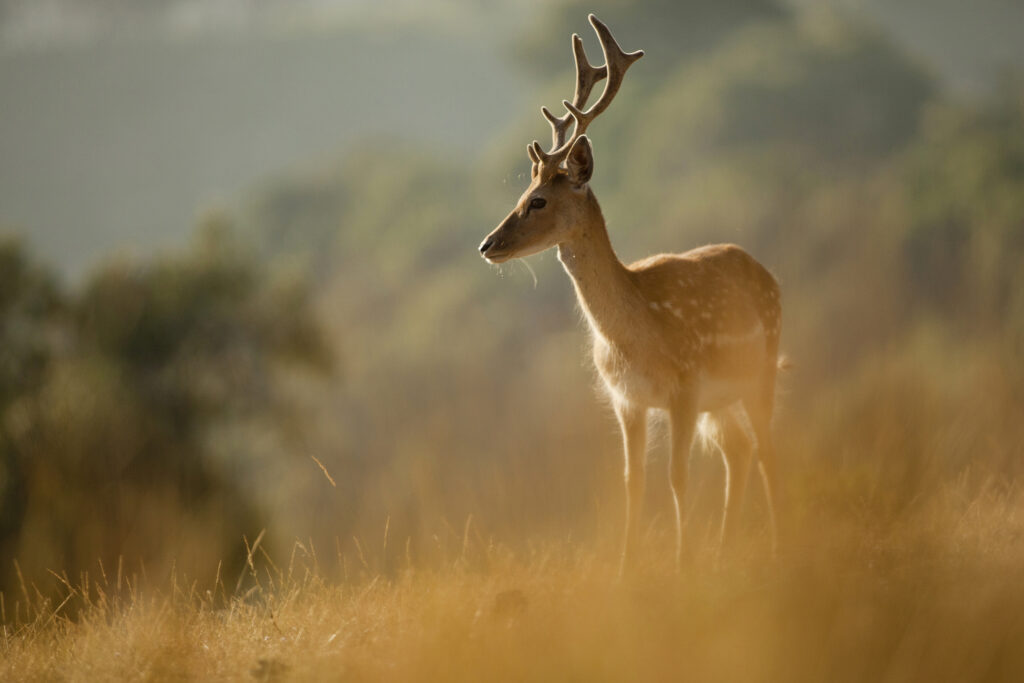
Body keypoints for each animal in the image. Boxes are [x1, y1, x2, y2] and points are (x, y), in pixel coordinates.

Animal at [477, 17, 782, 573]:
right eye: (520, 195)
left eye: (539, 200)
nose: (488, 244)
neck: (634, 338)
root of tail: (767, 275)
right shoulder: (626, 400)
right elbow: (632, 483)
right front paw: (627, 574)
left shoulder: (685, 387)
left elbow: (677, 479)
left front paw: (681, 568)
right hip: (722, 400)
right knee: (740, 450)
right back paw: (725, 553)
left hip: (761, 367)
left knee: (768, 449)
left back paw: (779, 548)